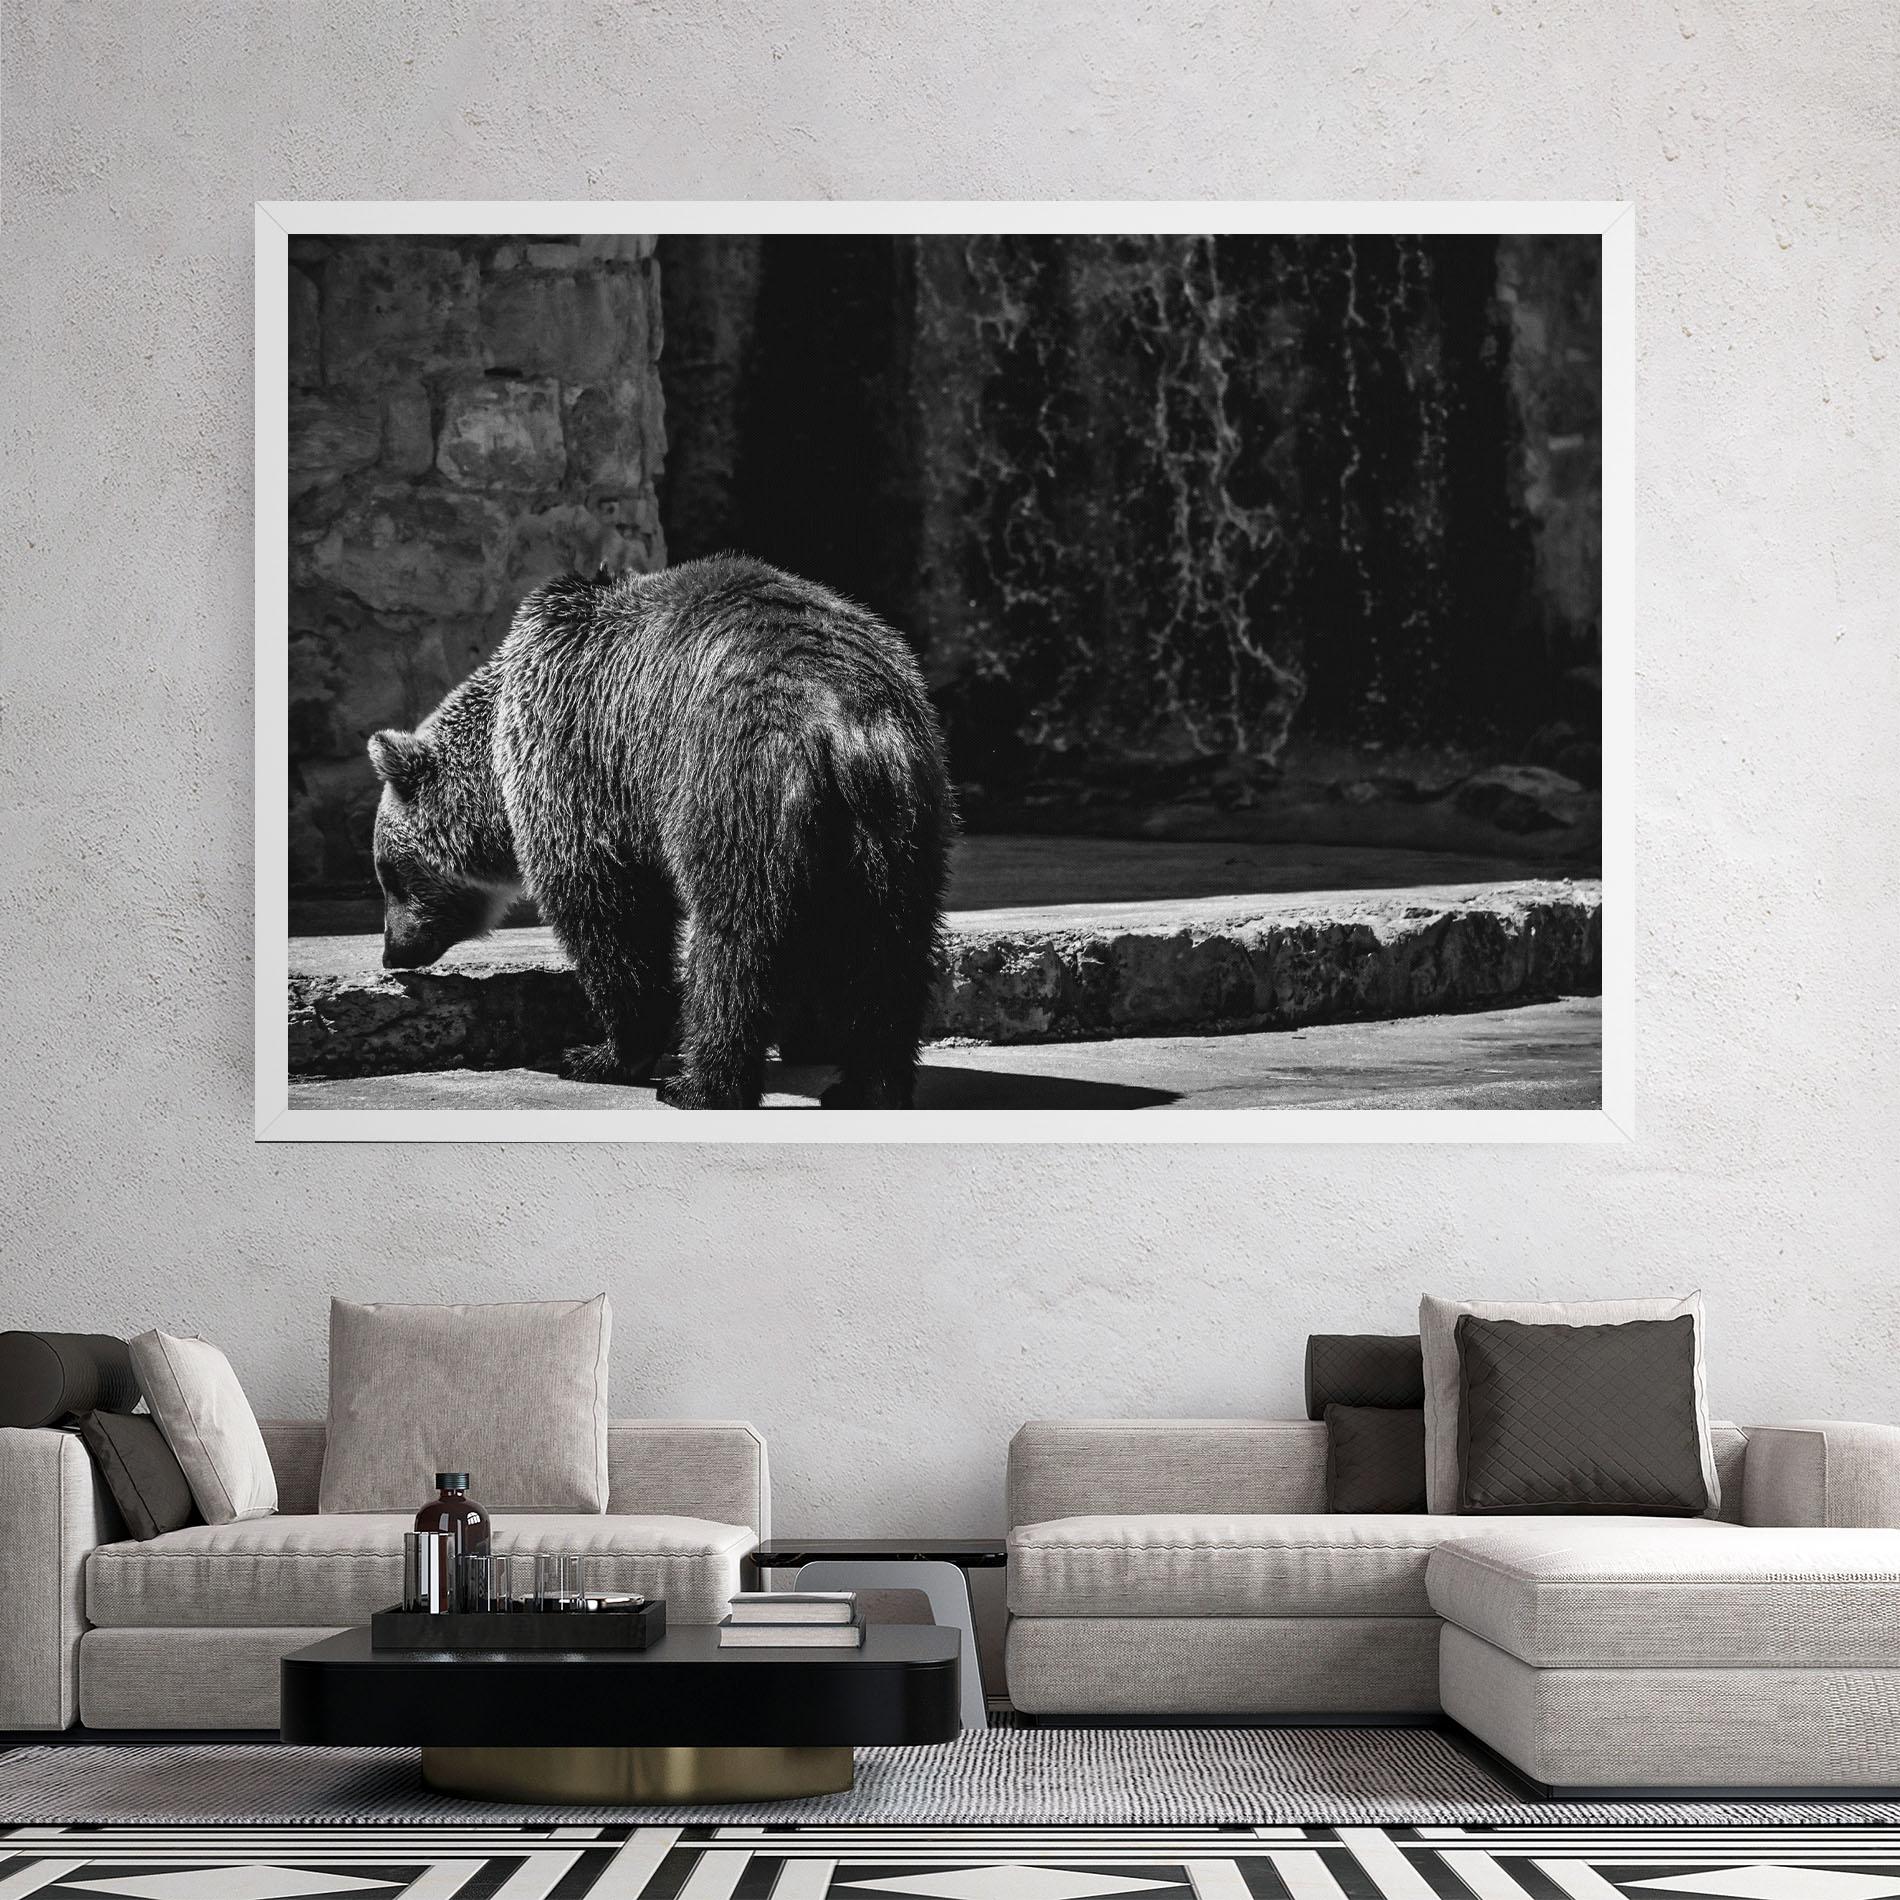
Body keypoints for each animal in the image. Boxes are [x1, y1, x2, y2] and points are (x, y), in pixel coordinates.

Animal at [367, 555, 954, 1109]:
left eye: (389, 873)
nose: (392, 952)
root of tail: (844, 719)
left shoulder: (582, 758)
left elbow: (611, 914)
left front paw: (597, 1054)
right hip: (900, 820)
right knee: (889, 947)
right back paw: (868, 1086)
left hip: (733, 784)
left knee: (736, 940)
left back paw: (700, 1085)